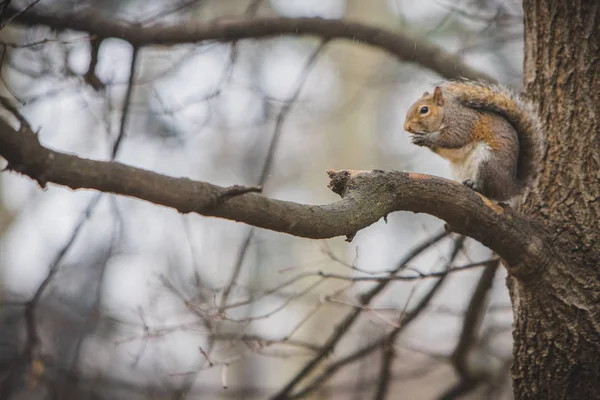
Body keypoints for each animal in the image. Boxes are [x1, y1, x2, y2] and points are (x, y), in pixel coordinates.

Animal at [406, 80, 540, 203]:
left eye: (424, 110)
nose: (406, 127)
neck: (445, 113)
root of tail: (510, 188)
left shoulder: (463, 123)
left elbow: (453, 138)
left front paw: (426, 138)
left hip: (488, 162)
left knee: (489, 191)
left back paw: (475, 185)